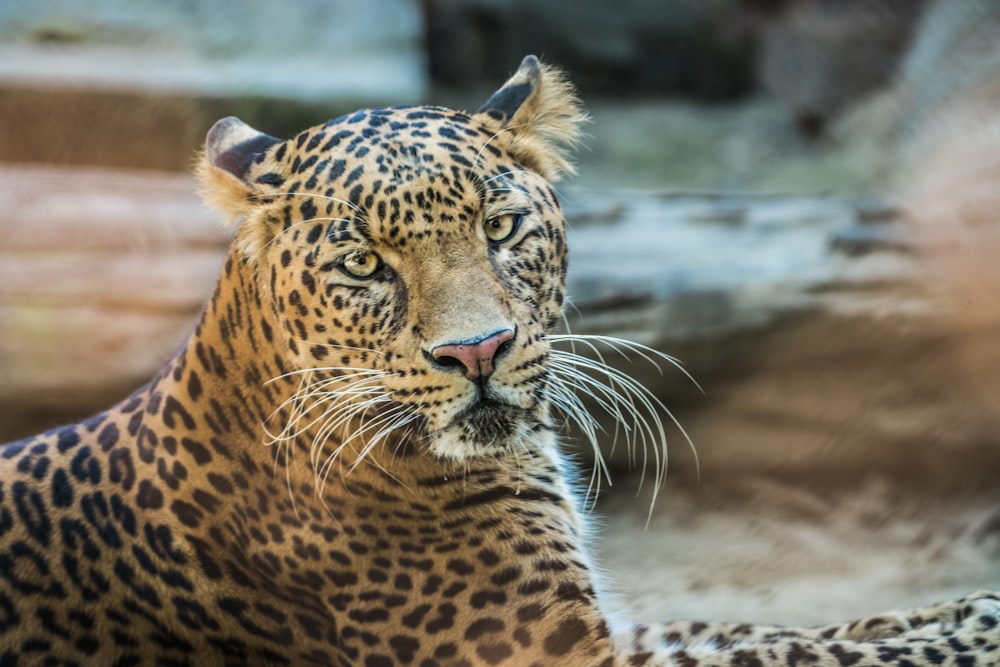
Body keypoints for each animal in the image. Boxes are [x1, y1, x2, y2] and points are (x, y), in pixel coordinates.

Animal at [1, 56, 1000, 667]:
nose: (476, 350)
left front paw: (960, 606)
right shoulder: (557, 650)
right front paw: (974, 626)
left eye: (501, 225)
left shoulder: (612, 625)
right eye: (364, 264)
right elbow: (794, 648)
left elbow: (765, 629)